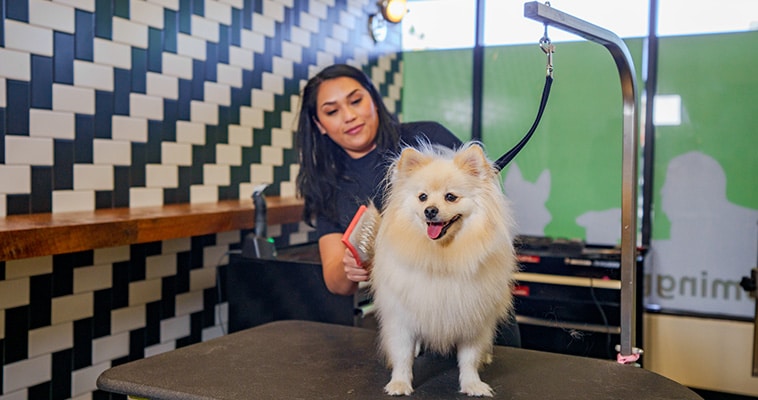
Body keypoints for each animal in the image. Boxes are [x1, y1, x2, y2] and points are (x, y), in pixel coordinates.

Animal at [372, 141, 520, 396]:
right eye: (422, 197)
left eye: (451, 197)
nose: (430, 210)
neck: (441, 257)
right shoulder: (402, 316)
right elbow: (402, 355)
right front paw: (400, 383)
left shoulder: (472, 316)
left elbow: (469, 358)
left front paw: (472, 384)